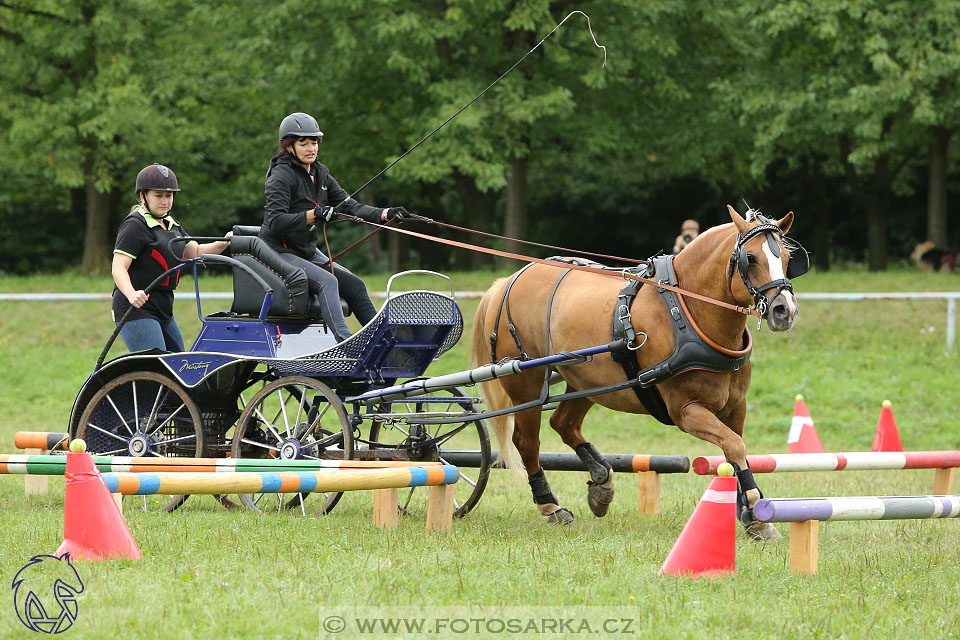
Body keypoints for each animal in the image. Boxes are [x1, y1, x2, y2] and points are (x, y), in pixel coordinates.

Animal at [468, 206, 808, 540]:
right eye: (750, 258)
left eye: (787, 258)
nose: (785, 310)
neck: (686, 310)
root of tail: (507, 281)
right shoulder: (686, 411)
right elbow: (735, 446)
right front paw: (754, 508)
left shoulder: (735, 406)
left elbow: (735, 452)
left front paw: (752, 516)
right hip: (526, 382)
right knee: (527, 441)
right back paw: (550, 505)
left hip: (586, 380)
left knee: (563, 423)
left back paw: (601, 480)